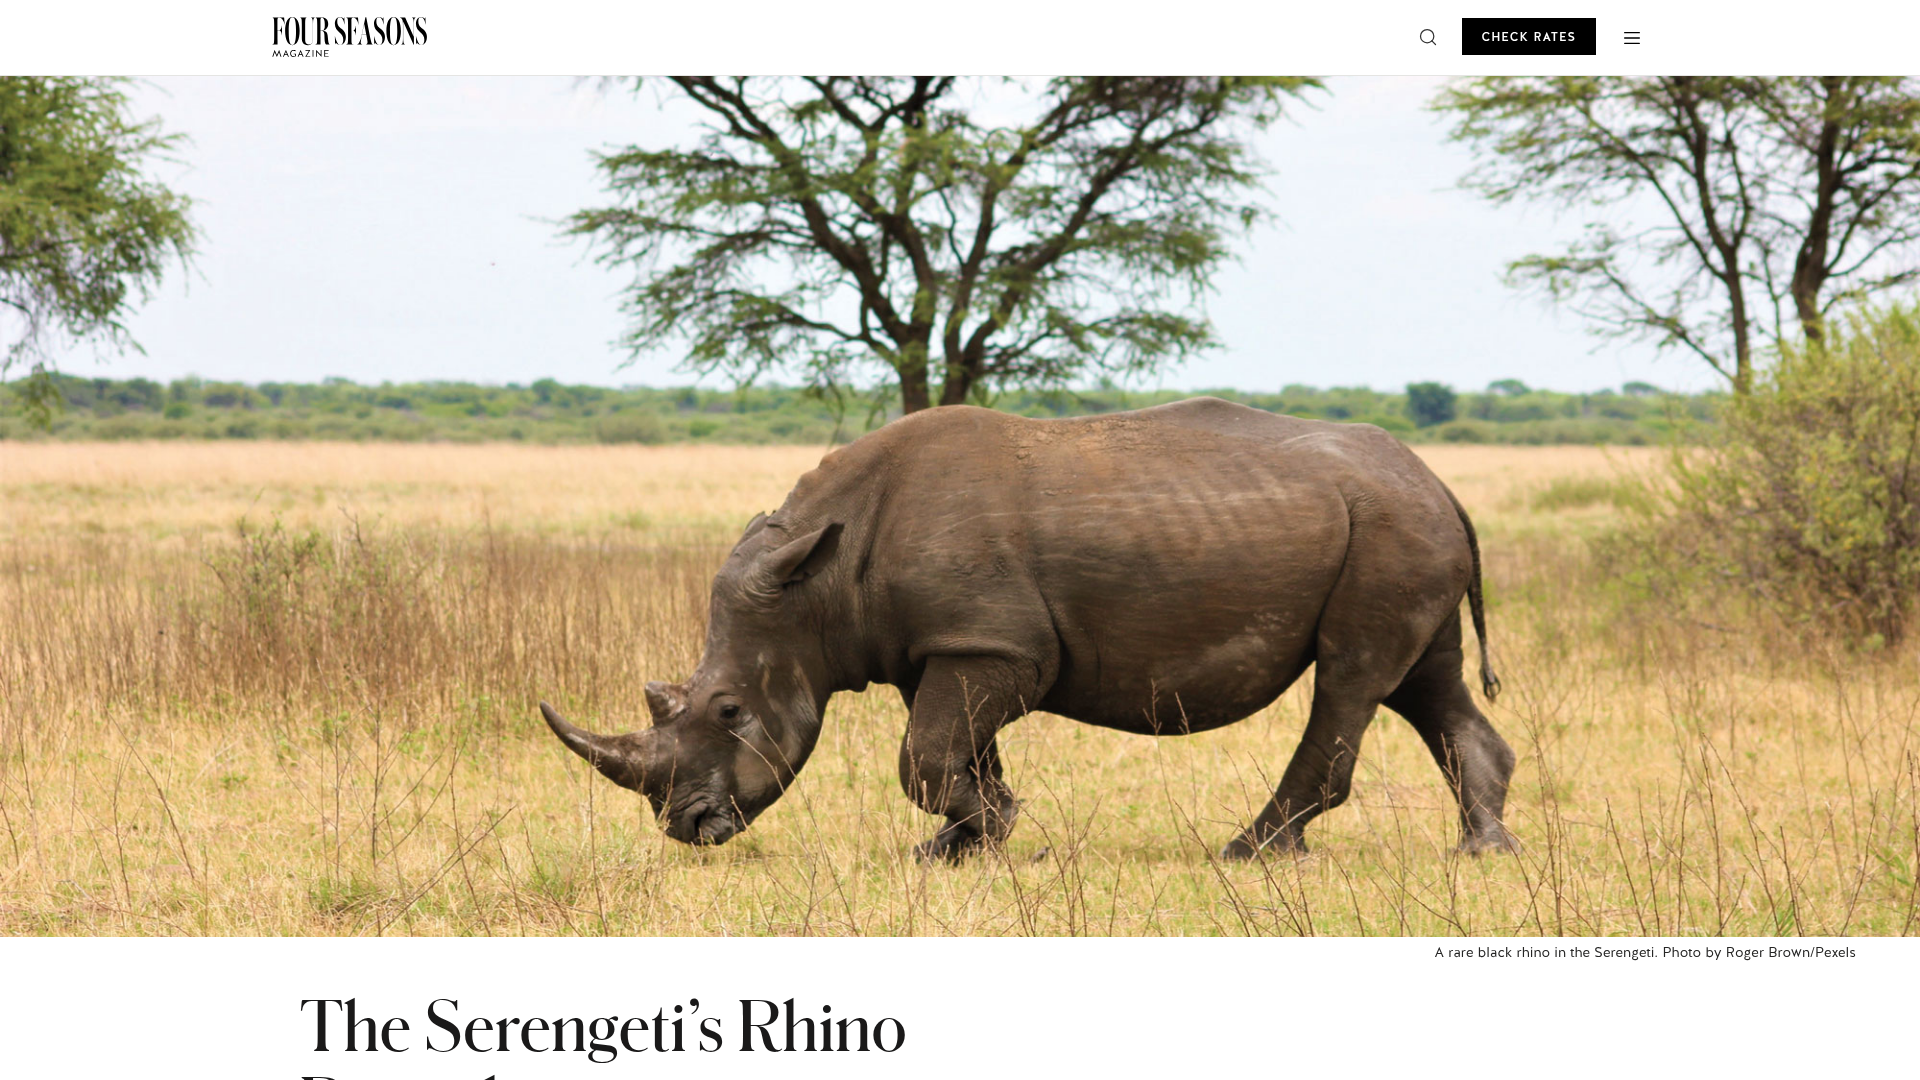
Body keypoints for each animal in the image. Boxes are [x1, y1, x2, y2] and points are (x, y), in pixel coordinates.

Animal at [541, 397, 1519, 860]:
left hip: (1388, 528)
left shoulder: (993, 644)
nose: (688, 827)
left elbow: (925, 758)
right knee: (1422, 680)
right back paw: (1483, 851)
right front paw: (962, 845)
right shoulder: (952, 645)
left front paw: (998, 833)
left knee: (1351, 676)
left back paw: (1251, 854)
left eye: (731, 713)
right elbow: (957, 754)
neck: (816, 585)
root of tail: (1440, 481)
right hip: (1400, 528)